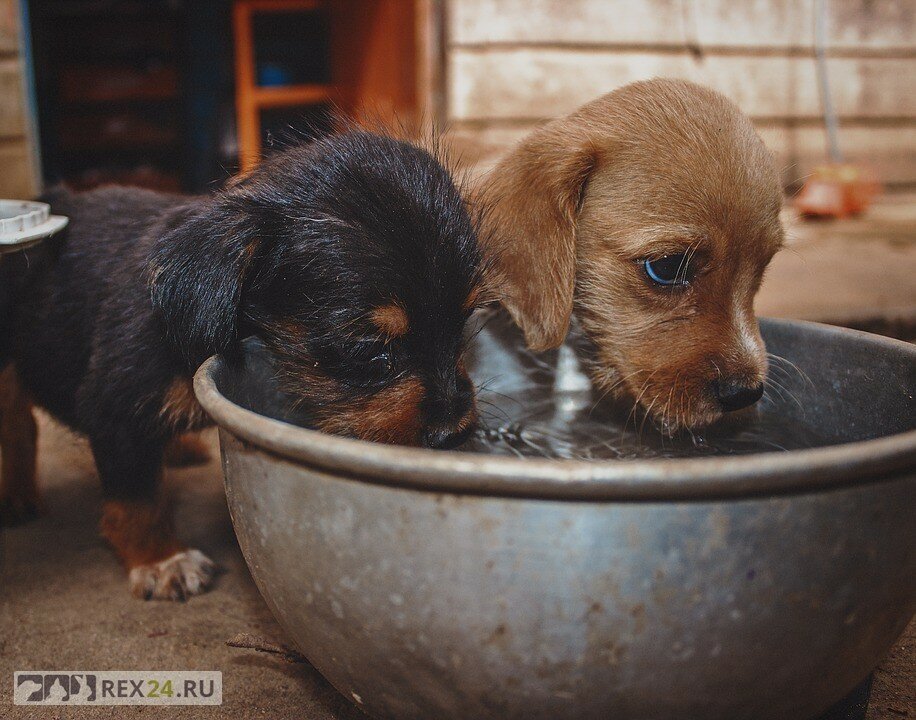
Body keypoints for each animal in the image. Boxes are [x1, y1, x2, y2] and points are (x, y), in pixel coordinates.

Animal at [0, 131, 484, 600]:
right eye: (368, 349)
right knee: (18, 424)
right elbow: (138, 500)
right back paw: (17, 495)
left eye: (463, 324)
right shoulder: (115, 411)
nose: (454, 434)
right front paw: (160, 559)